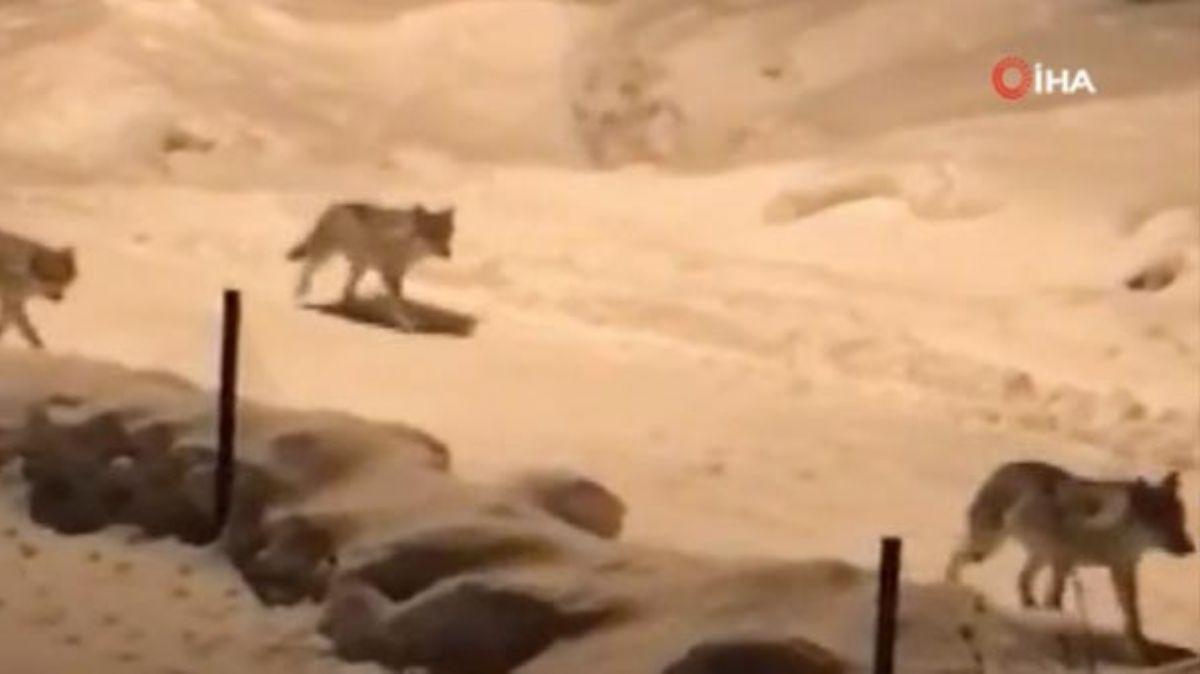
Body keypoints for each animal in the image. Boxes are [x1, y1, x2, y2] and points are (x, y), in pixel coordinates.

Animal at [285, 200, 453, 328]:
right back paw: (301, 293)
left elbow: (398, 301)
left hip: (360, 267)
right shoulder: (390, 275)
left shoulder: (396, 274)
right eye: (431, 235)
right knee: (307, 269)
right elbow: (398, 303)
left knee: (346, 291)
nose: (447, 253)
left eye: (446, 235)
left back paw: (352, 309)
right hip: (325, 256)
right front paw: (405, 323)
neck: (408, 243)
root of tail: (335, 205)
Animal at [945, 458, 1190, 657]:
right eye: (1162, 523)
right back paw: (952, 587)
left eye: (1180, 520)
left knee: (1022, 580)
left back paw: (1031, 612)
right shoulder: (1063, 564)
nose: (1191, 548)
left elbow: (1132, 616)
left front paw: (1141, 651)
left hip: (1037, 556)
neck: (1108, 532)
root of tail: (1003, 467)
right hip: (986, 550)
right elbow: (1055, 604)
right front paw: (1062, 648)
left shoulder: (1122, 569)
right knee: (956, 556)